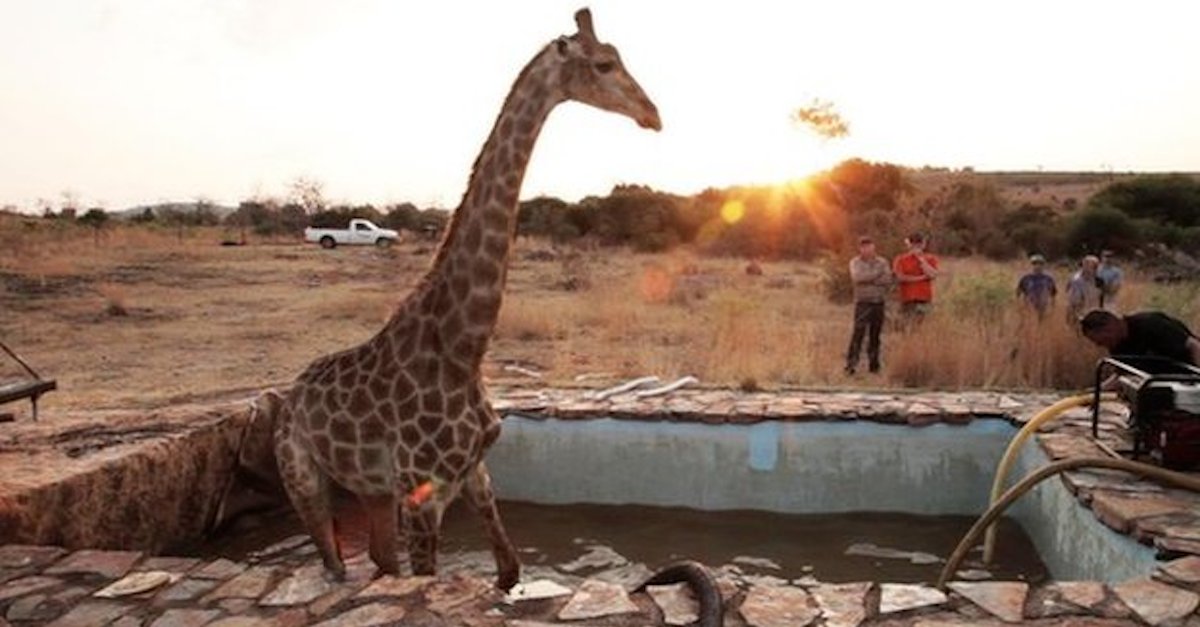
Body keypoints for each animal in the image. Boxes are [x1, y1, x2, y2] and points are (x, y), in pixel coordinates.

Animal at [268, 7, 662, 588]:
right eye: (604, 64)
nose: (652, 115)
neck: (463, 346)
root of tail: (288, 395)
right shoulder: (424, 495)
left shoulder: (474, 472)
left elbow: (510, 568)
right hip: (301, 478)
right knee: (336, 563)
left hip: (372, 489)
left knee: (380, 559)